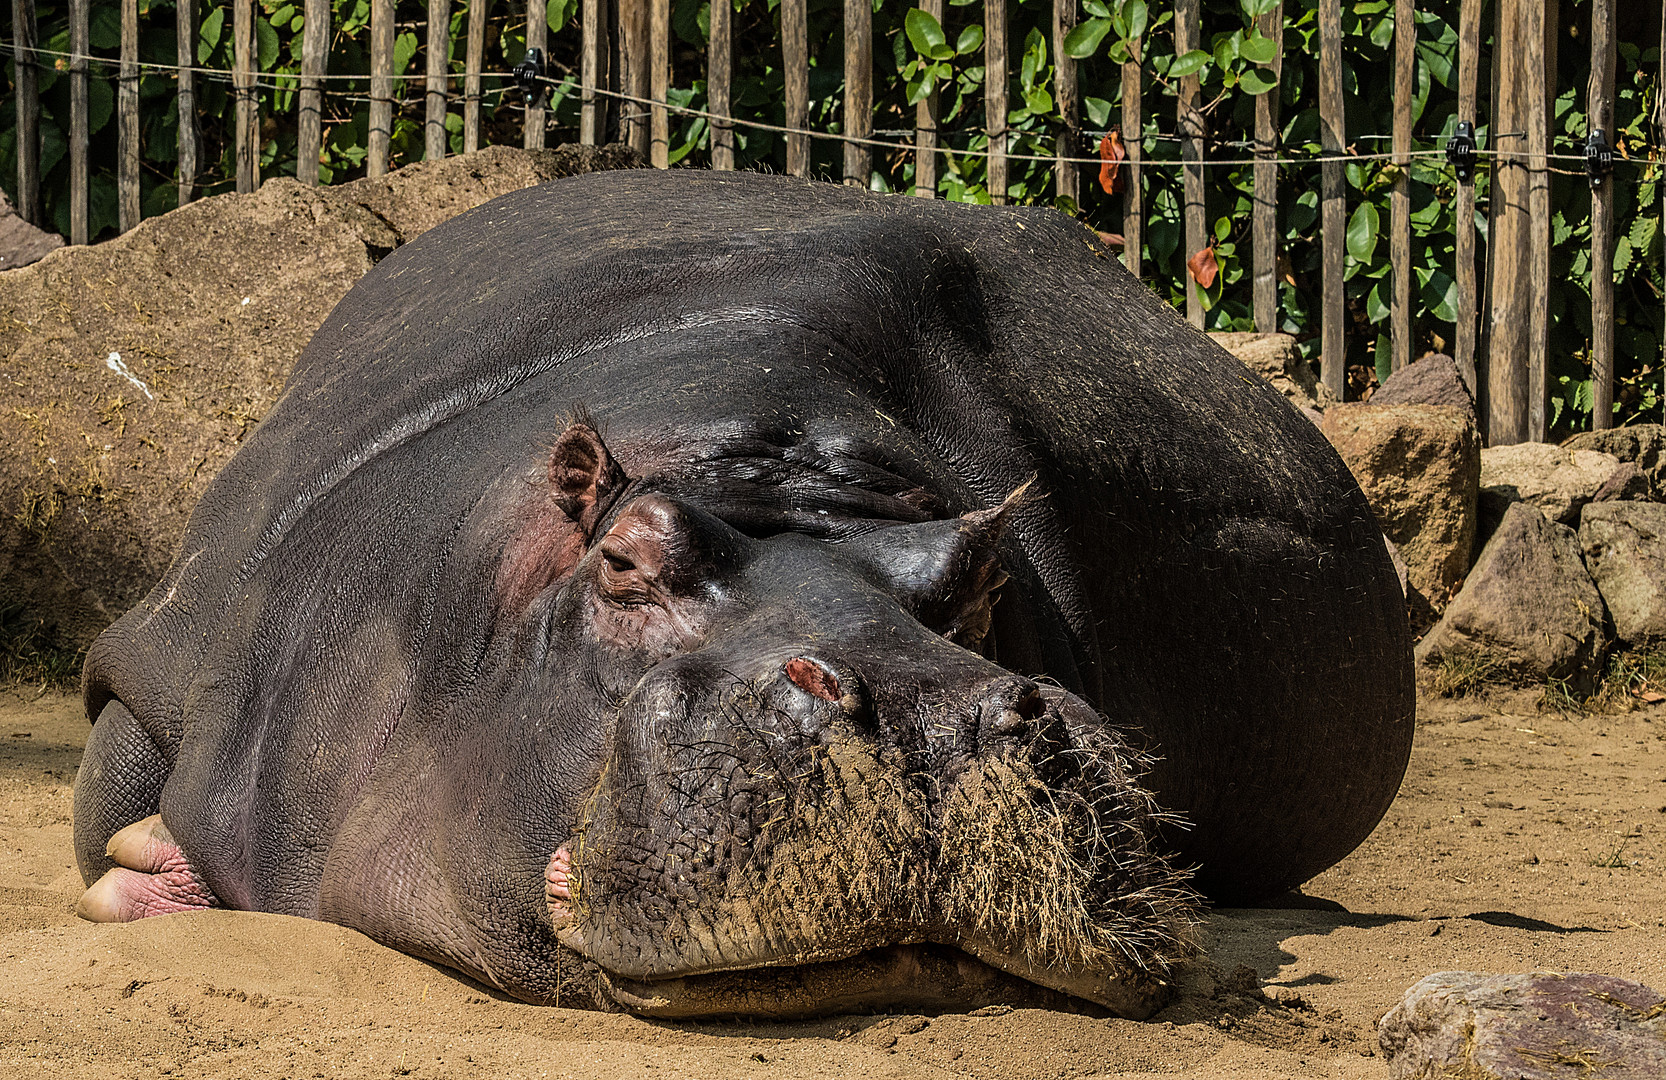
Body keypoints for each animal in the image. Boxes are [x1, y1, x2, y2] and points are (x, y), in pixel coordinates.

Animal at [71, 170, 1412, 1020]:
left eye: (981, 579)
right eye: (624, 561)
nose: (927, 716)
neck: (764, 464)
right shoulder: (161, 661)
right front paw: (146, 867)